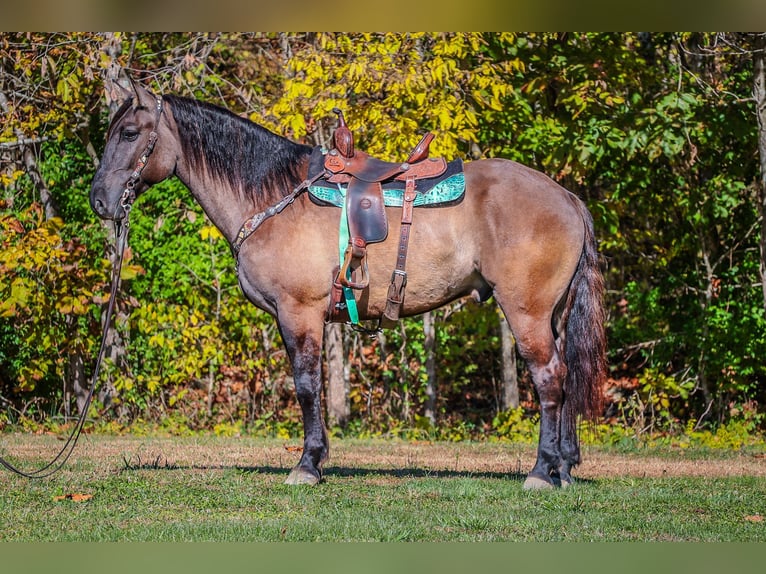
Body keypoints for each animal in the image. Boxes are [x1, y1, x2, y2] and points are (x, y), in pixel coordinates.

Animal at [88, 80, 608, 490]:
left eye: (129, 133)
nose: (99, 201)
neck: (275, 195)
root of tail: (566, 196)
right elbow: (313, 384)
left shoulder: (299, 313)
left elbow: (305, 385)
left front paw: (307, 465)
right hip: (554, 316)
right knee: (564, 378)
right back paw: (563, 468)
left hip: (527, 312)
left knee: (549, 378)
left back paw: (541, 472)